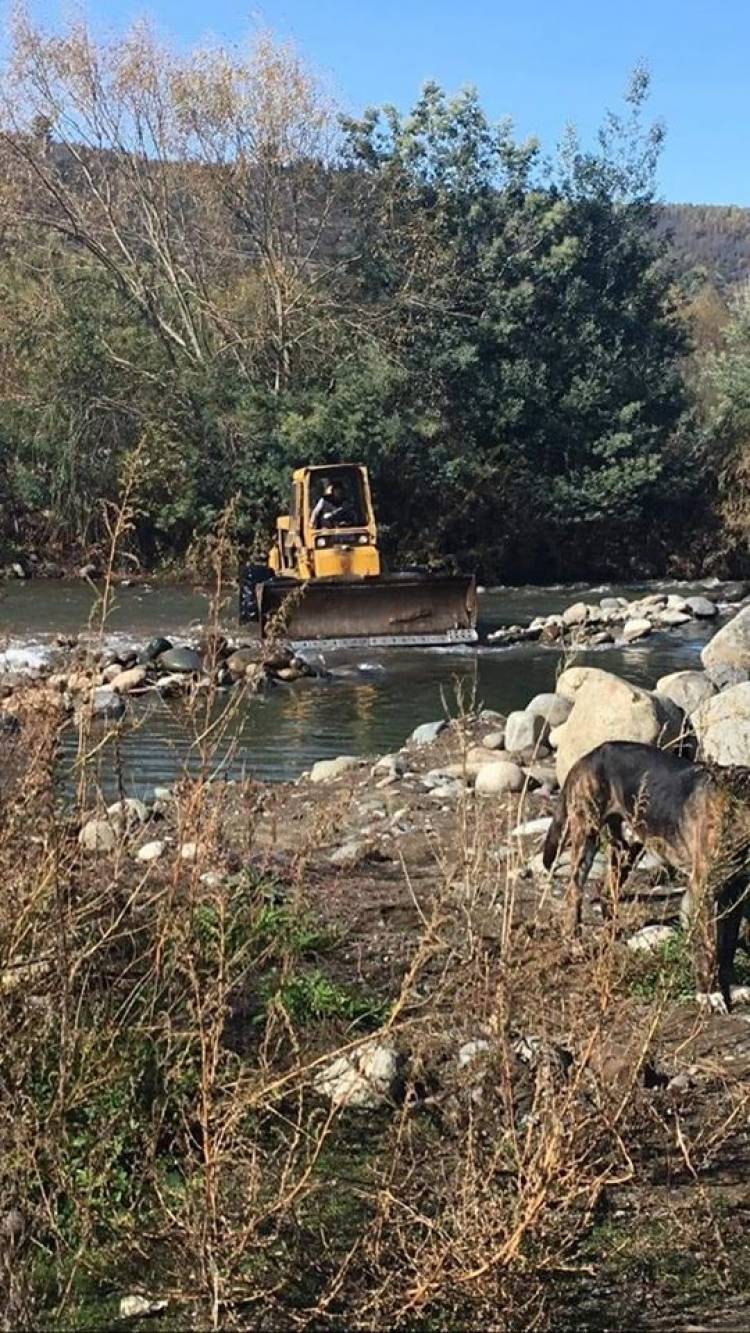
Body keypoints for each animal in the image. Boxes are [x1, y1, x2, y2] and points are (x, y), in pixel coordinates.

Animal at [543, 741, 750, 1007]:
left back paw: (612, 934)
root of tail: (593, 753)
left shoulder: (736, 893)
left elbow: (728, 947)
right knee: (574, 894)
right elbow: (708, 946)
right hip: (586, 836)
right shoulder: (703, 890)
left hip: (628, 847)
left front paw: (733, 987)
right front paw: (709, 994)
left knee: (606, 890)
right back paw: (575, 945)